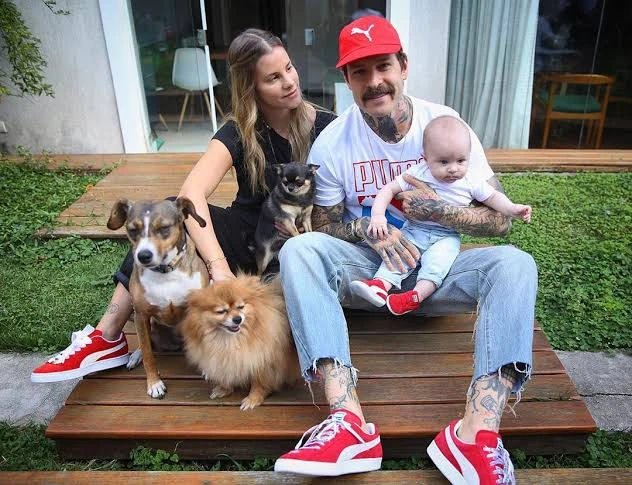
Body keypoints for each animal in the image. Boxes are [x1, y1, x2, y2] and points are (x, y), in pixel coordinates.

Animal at [107, 197, 209, 399]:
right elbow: (148, 354)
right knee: (145, 344)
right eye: (132, 229)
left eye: (164, 227)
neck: (166, 272)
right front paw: (154, 383)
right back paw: (135, 356)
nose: (143, 256)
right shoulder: (141, 315)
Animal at [180, 274, 301, 410]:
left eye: (241, 307)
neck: (228, 340)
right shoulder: (227, 358)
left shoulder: (262, 360)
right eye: (221, 311)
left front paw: (253, 399)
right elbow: (227, 373)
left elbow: (259, 383)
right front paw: (224, 389)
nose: (237, 319)